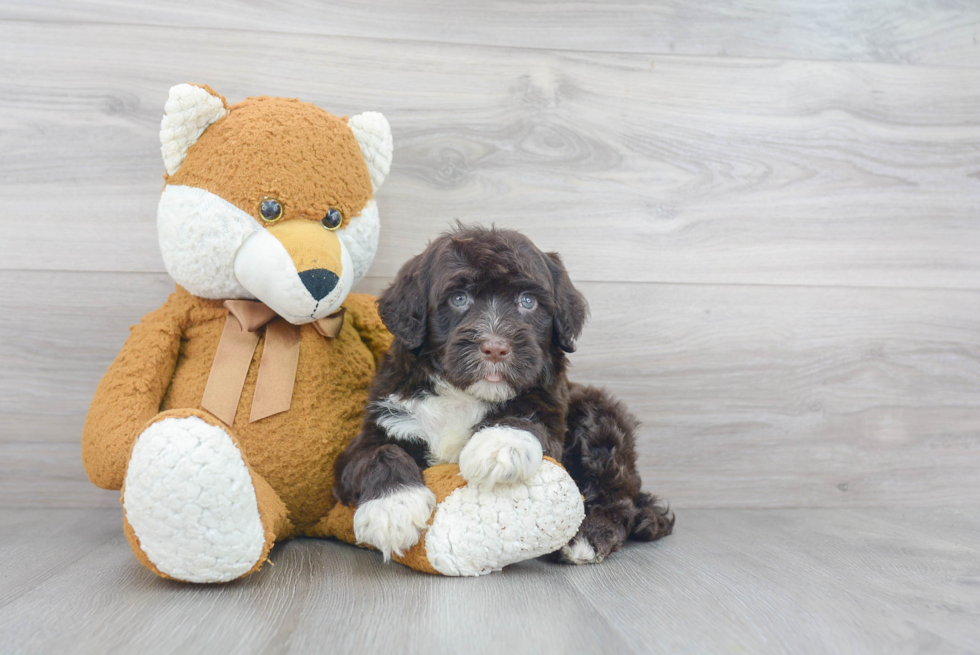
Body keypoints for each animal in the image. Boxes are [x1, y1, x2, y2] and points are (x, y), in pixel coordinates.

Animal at [334, 224, 668, 564]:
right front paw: (392, 510)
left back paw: (588, 536)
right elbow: (378, 453)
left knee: (616, 495)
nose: (495, 347)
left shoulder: (548, 411)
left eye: (528, 301)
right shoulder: (382, 423)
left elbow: (524, 419)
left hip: (598, 417)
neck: (463, 393)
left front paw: (498, 446)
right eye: (459, 298)